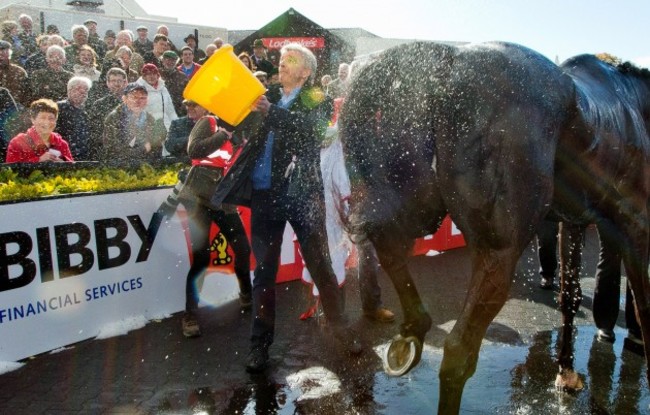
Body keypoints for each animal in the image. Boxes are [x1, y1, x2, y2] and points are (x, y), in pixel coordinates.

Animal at [340, 41, 648, 412]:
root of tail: (449, 63)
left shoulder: (573, 223)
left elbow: (569, 297)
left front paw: (566, 372)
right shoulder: (633, 225)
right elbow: (644, 305)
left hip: (411, 199)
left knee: (388, 245)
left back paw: (414, 327)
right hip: (498, 251)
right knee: (459, 348)